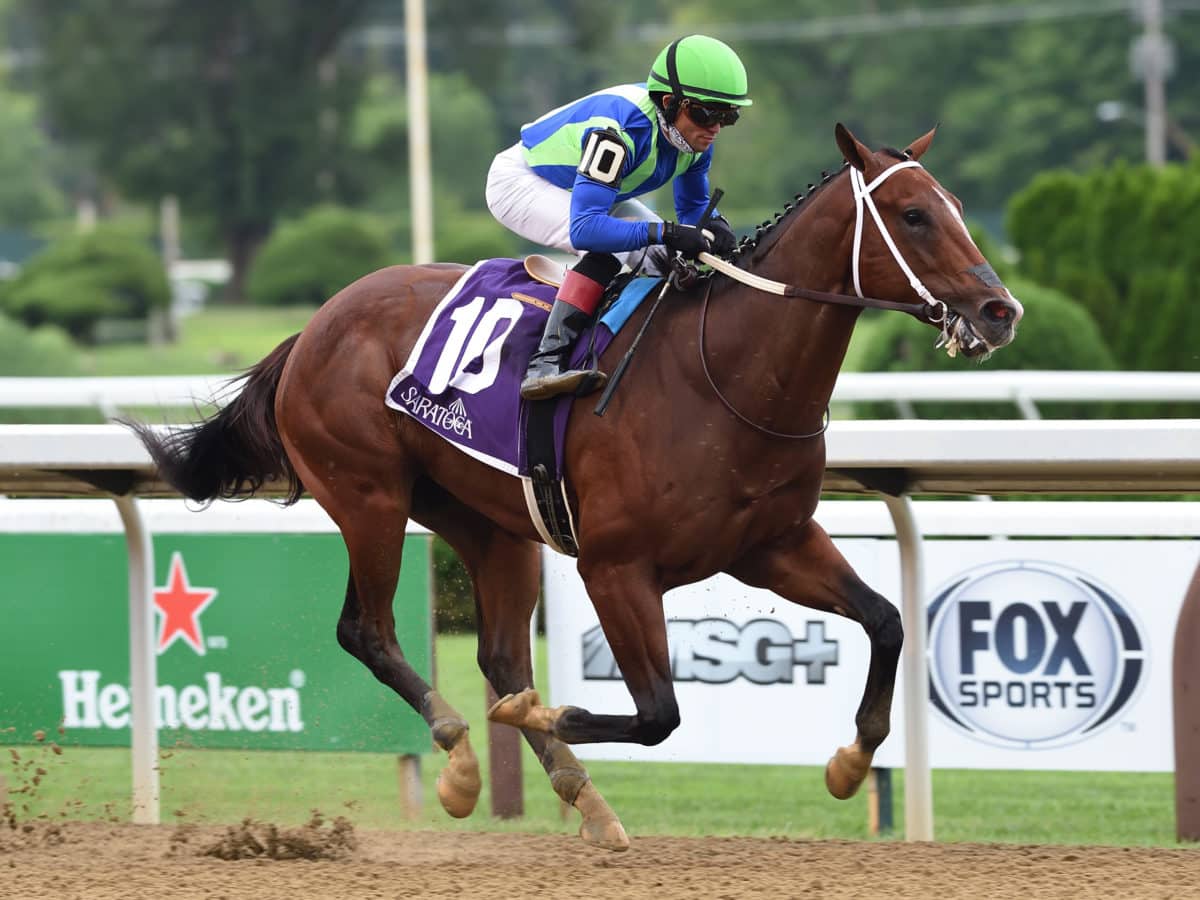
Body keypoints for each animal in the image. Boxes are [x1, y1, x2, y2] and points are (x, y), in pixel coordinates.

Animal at [138, 125, 1022, 854]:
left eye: (957, 205)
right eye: (913, 214)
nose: (1000, 309)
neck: (725, 376)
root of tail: (316, 324)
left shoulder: (771, 543)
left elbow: (887, 620)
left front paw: (847, 760)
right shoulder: (616, 567)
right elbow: (660, 713)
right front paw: (539, 716)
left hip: (489, 523)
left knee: (498, 655)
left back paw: (582, 797)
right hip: (369, 496)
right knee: (368, 631)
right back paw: (462, 760)